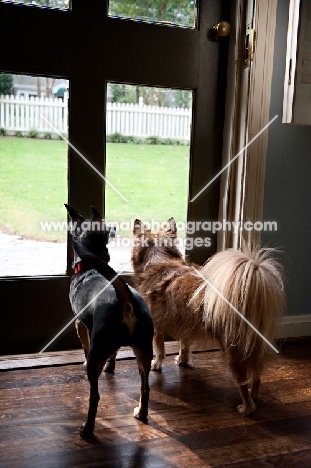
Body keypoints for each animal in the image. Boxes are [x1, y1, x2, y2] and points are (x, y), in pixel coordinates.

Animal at [66, 205, 155, 438]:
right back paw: (141, 413)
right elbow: (114, 354)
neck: (90, 266)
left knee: (95, 396)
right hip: (144, 350)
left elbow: (85, 347)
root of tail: (125, 299)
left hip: (100, 351)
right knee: (145, 387)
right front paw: (111, 367)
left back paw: (87, 430)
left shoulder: (80, 325)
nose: (114, 228)